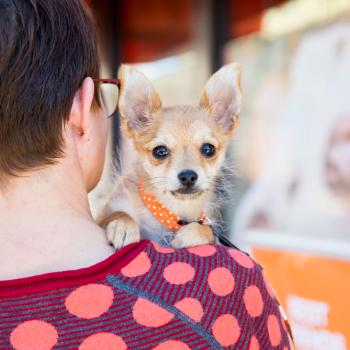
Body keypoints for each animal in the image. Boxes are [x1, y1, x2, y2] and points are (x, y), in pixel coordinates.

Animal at [97, 63, 242, 249]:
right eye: (160, 151)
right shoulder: (106, 211)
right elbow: (118, 213)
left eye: (208, 149)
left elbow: (207, 230)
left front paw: (191, 234)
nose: (188, 176)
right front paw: (123, 226)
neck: (172, 210)